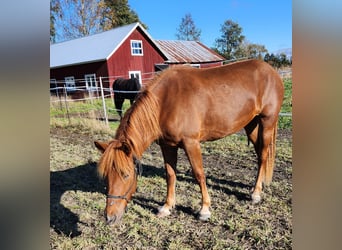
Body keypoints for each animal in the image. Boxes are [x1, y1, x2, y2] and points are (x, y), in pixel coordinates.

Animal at [95, 59, 284, 224]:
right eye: (106, 176)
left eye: (126, 174)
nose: (109, 217)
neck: (164, 103)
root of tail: (271, 71)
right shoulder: (167, 146)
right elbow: (170, 175)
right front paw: (167, 206)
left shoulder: (191, 143)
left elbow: (199, 174)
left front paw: (204, 209)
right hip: (250, 124)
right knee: (259, 154)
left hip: (267, 122)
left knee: (263, 155)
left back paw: (256, 194)